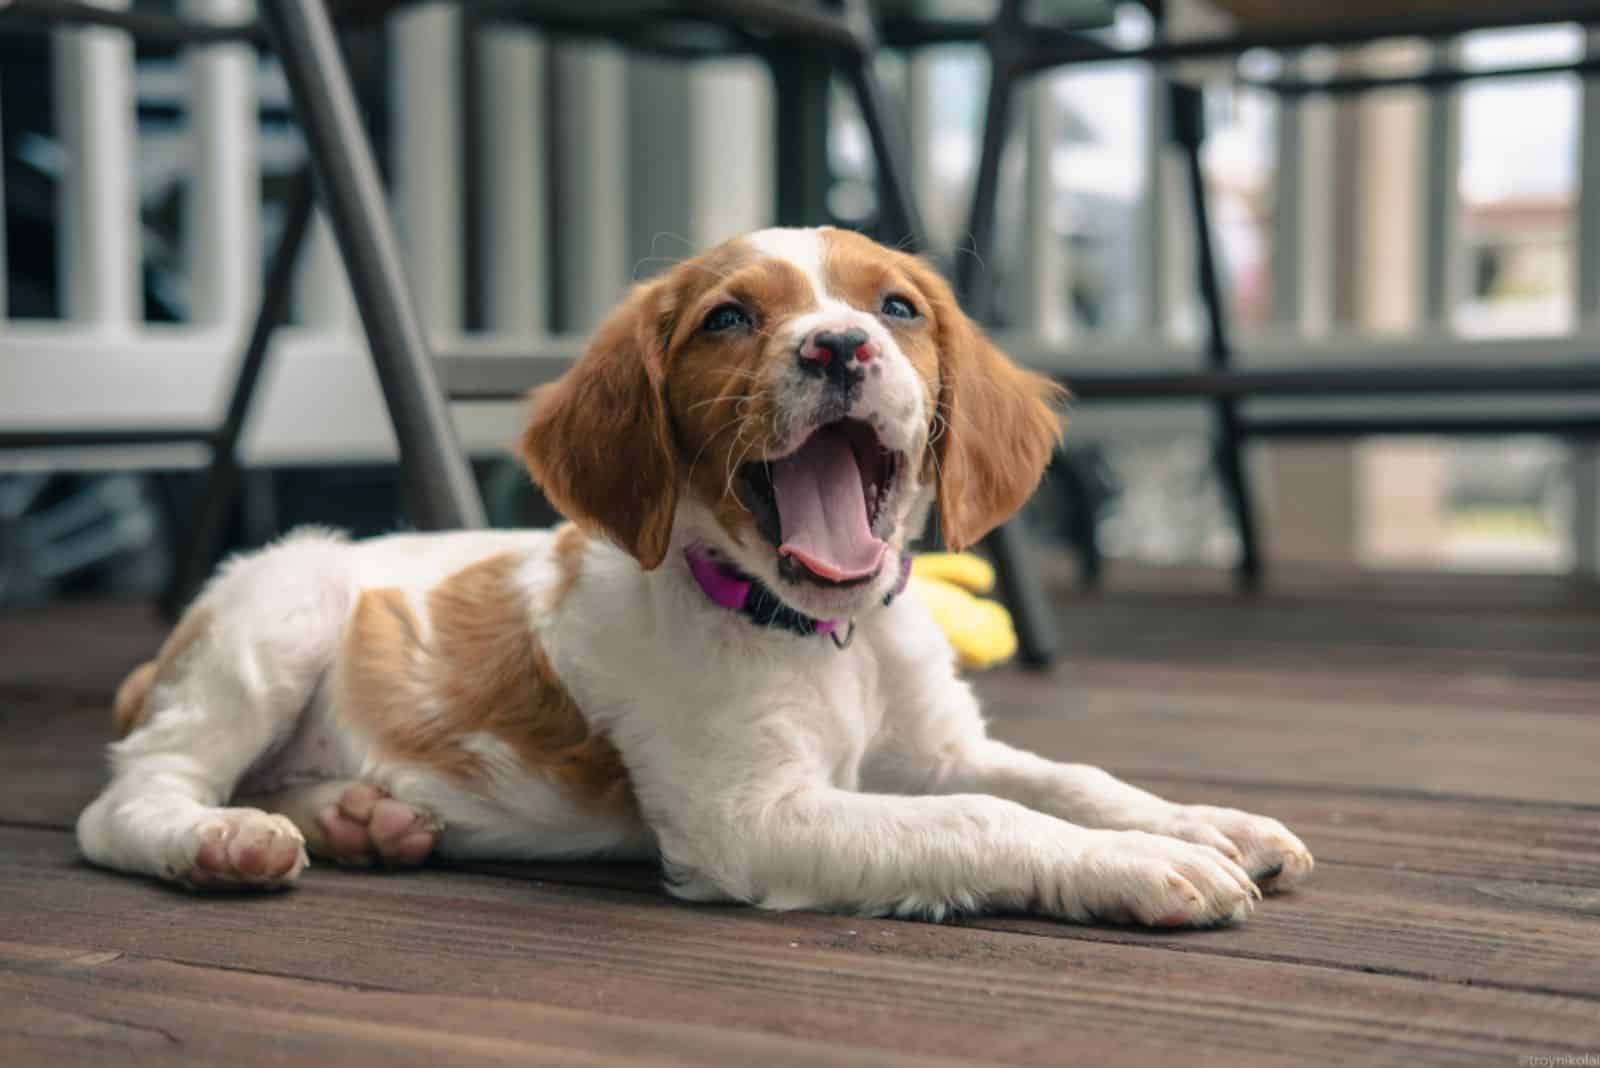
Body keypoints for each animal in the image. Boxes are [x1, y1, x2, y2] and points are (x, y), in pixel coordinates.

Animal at [78, 227, 1312, 927]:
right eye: (729, 318)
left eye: (896, 307)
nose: (837, 346)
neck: (825, 634)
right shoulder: (749, 817)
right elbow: (981, 820)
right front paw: (1146, 865)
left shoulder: (937, 749)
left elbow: (1068, 777)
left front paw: (1204, 823)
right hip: (275, 618)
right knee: (129, 799)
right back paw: (220, 841)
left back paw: (357, 816)